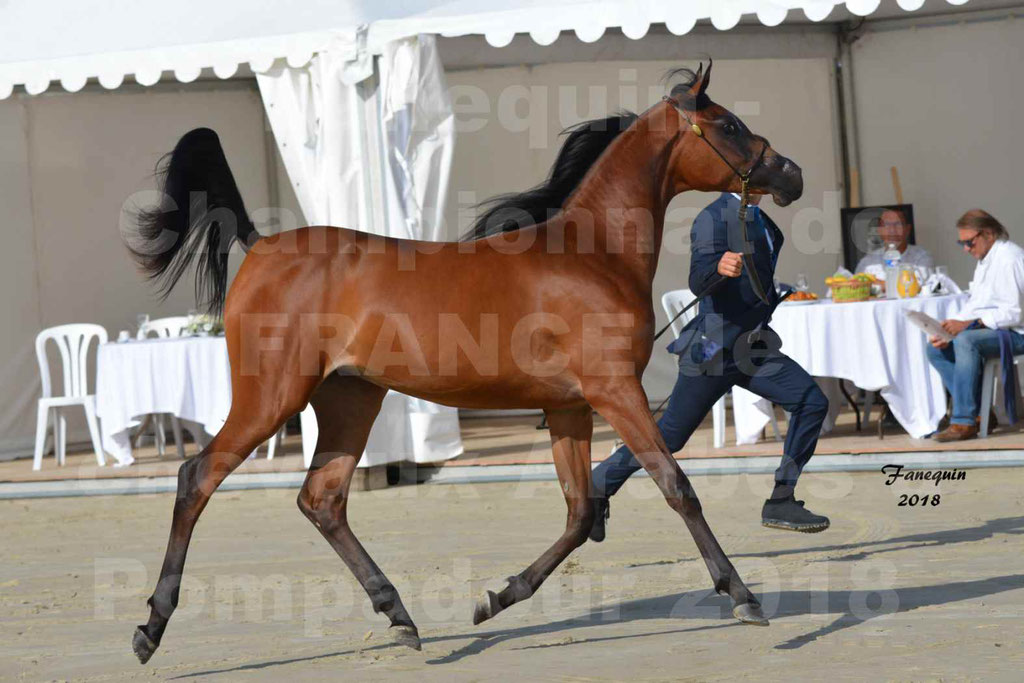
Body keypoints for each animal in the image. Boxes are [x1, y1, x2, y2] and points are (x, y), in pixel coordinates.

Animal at [128, 62, 798, 663]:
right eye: (729, 124)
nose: (790, 173)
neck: (593, 253)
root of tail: (262, 244)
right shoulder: (615, 392)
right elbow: (675, 485)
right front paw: (742, 596)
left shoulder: (569, 406)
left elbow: (582, 511)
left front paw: (495, 599)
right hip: (271, 397)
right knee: (197, 478)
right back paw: (151, 629)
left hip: (350, 399)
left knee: (322, 499)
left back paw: (400, 617)